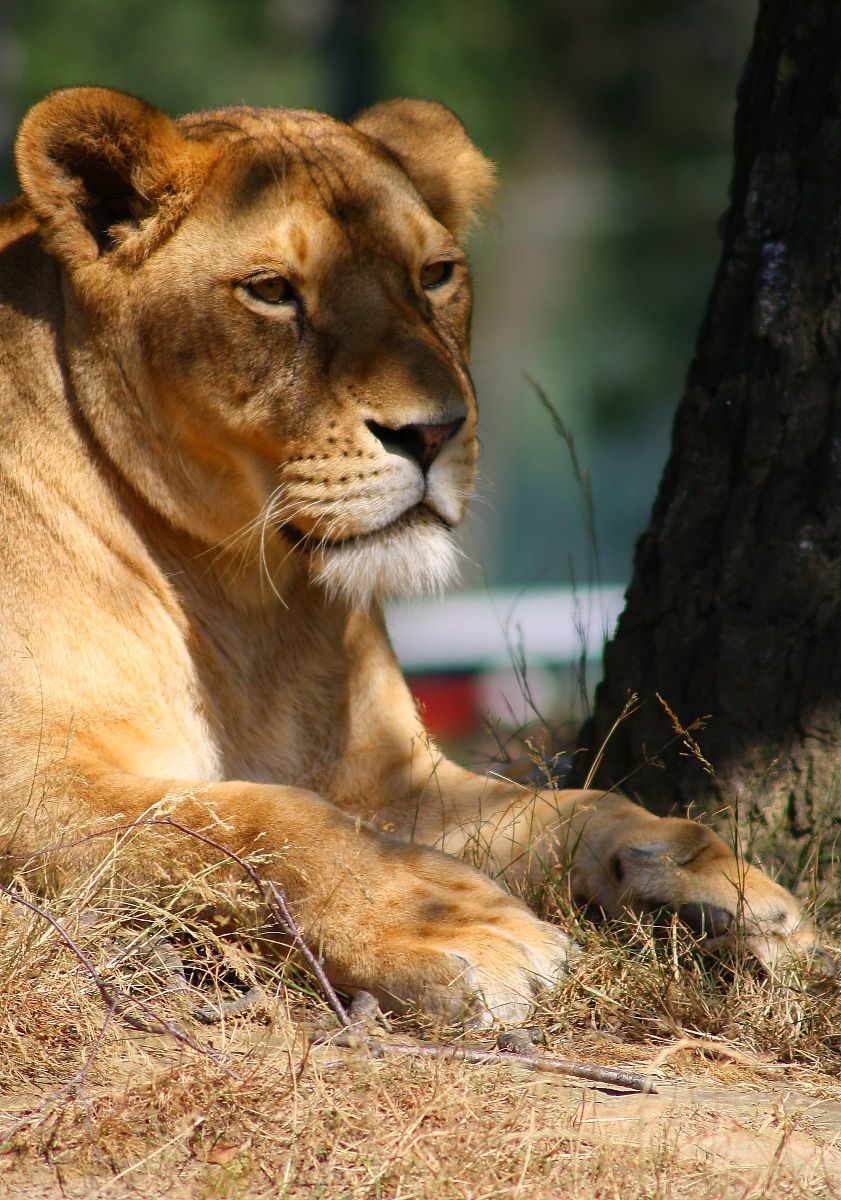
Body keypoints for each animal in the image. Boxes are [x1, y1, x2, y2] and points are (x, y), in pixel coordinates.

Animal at [0, 86, 824, 1027]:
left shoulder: (393, 775)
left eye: (434, 275)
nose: (432, 432)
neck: (243, 602)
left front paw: (708, 881)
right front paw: (456, 931)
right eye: (271, 292)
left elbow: (568, 804)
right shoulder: (32, 780)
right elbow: (267, 823)